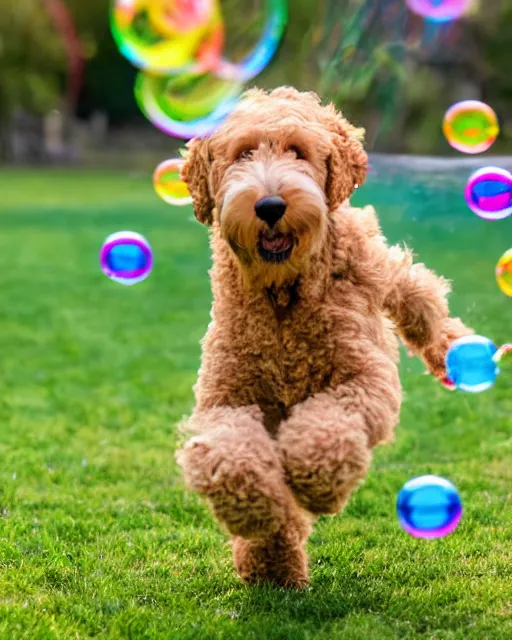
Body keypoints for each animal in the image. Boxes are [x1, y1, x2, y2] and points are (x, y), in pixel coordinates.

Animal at [175, 87, 472, 588]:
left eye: (297, 151)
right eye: (242, 154)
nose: (270, 206)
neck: (282, 296)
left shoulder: (361, 378)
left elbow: (327, 428)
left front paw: (313, 481)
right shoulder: (229, 396)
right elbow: (232, 458)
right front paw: (261, 523)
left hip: (380, 268)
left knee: (421, 296)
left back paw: (460, 354)